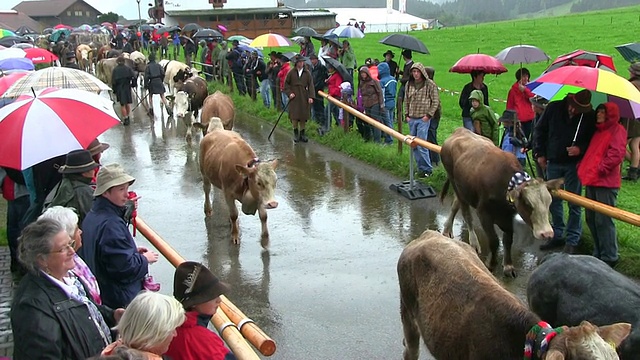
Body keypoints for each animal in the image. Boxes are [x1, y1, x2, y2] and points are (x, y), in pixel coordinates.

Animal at [199, 118, 278, 248]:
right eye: (259, 182)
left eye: (275, 181)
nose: (273, 204)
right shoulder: (228, 193)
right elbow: (234, 214)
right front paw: (235, 236)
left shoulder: (259, 196)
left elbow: (264, 216)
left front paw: (265, 239)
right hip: (204, 173)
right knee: (206, 189)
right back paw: (208, 209)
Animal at [438, 128, 564, 278]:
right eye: (528, 203)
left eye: (549, 202)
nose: (547, 234)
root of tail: (460, 130)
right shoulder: (483, 213)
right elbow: (494, 241)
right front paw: (491, 264)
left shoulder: (508, 216)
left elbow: (508, 240)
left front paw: (508, 266)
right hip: (454, 181)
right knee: (466, 213)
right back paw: (473, 242)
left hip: (463, 188)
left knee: (456, 204)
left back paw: (447, 229)